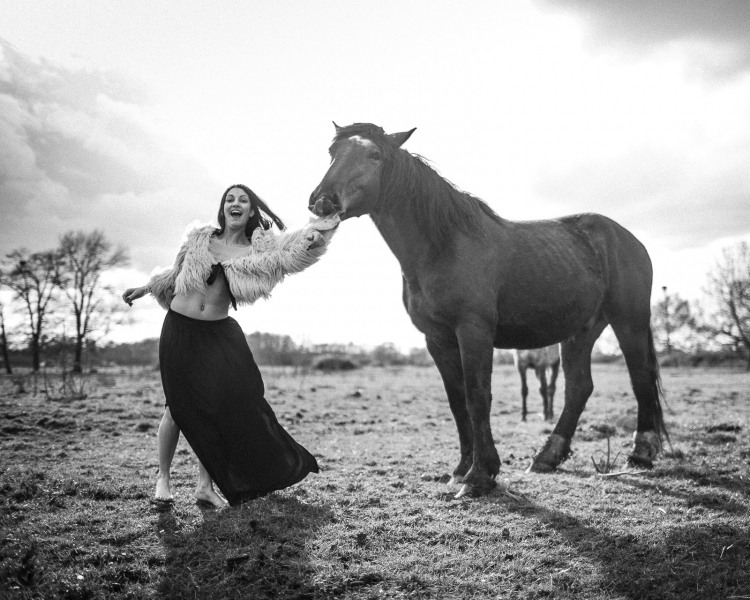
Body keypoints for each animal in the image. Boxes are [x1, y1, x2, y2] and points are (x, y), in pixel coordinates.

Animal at [308, 120, 668, 496]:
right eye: (332, 152)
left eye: (375, 155)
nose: (323, 201)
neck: (443, 246)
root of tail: (629, 238)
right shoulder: (437, 340)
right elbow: (457, 402)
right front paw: (461, 468)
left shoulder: (473, 331)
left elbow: (477, 396)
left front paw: (480, 475)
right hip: (580, 330)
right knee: (579, 388)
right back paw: (547, 456)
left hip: (628, 321)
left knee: (640, 377)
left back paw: (641, 452)